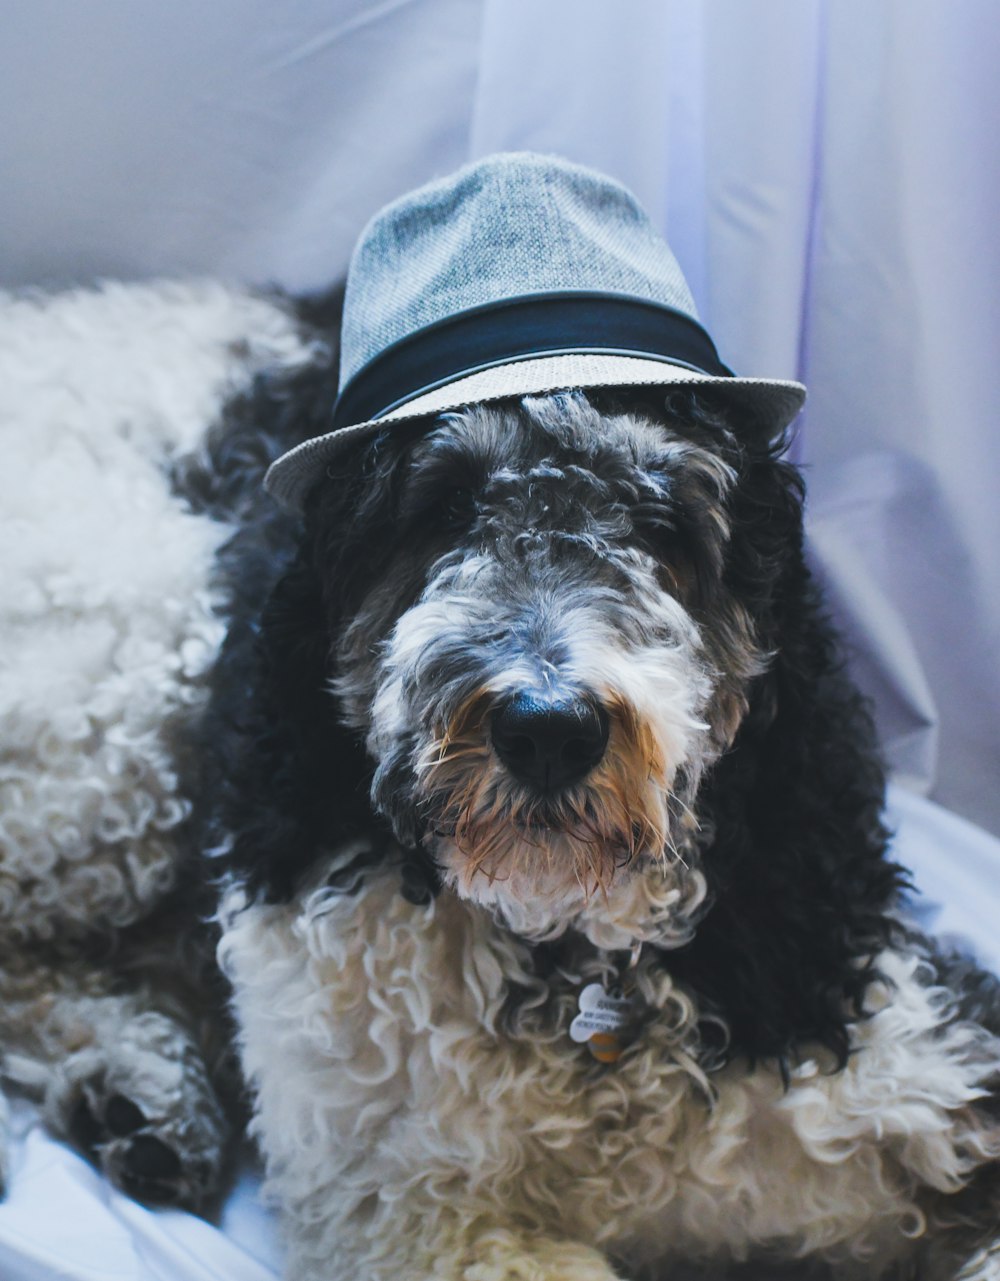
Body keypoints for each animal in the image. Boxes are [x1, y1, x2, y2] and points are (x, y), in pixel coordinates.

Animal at [201, 155, 998, 1275]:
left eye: (664, 522)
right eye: (443, 507)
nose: (547, 730)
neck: (577, 972)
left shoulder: (929, 1064)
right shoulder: (402, 1205)